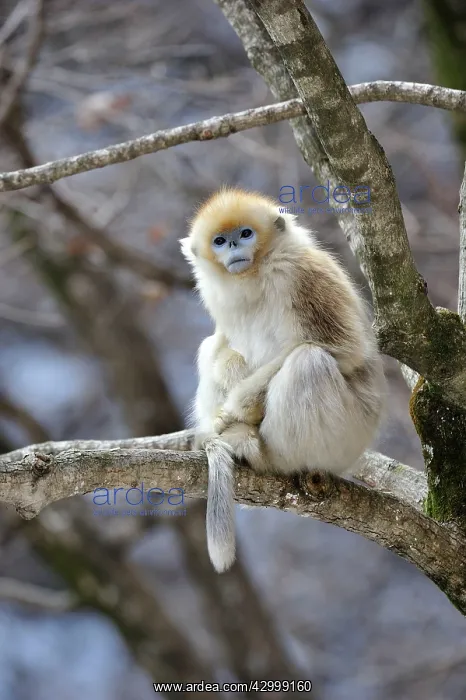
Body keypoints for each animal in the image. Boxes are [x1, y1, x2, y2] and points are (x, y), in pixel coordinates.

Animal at [180, 187, 385, 573]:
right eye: (220, 241)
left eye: (246, 233)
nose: (234, 246)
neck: (256, 275)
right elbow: (224, 348)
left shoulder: (301, 272)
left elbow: (343, 349)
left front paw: (233, 413)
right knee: (210, 346)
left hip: (345, 440)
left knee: (308, 361)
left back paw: (262, 454)